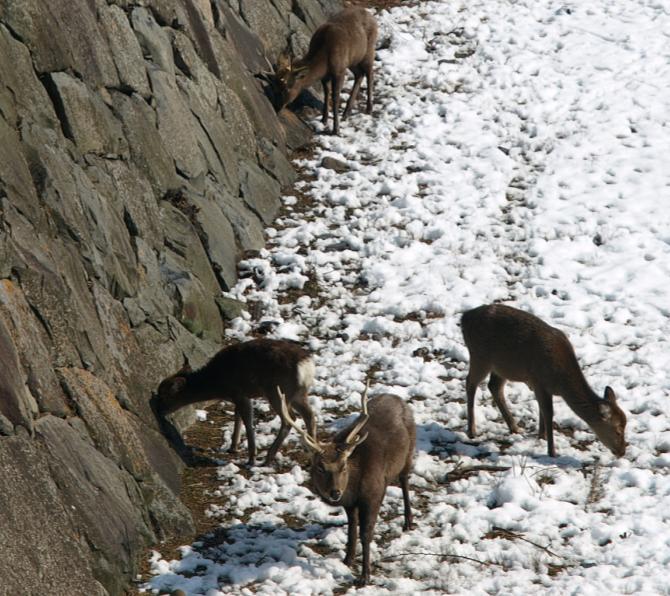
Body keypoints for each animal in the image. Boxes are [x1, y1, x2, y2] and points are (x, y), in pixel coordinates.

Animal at [152, 338, 318, 468]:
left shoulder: (239, 393)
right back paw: (312, 459)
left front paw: (251, 459)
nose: (158, 409)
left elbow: (247, 422)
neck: (219, 385)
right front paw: (233, 447)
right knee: (309, 415)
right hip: (298, 393)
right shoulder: (240, 396)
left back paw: (267, 459)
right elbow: (238, 416)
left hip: (277, 392)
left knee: (290, 419)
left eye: (165, 396)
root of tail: (307, 366)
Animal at [278, 384, 414, 584]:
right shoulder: (350, 503)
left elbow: (366, 534)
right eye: (319, 467)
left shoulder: (373, 494)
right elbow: (351, 530)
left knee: (405, 480)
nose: (335, 492)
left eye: (343, 466)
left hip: (409, 452)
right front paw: (347, 560)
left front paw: (365, 576)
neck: (354, 487)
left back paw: (408, 522)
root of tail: (397, 398)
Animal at [462, 304, 632, 458]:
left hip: (502, 366)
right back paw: (472, 430)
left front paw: (541, 437)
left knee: (494, 386)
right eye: (618, 431)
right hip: (480, 355)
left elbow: (542, 410)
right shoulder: (539, 382)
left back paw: (515, 427)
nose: (622, 452)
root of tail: (464, 318)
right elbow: (548, 412)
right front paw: (552, 452)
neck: (560, 382)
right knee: (470, 382)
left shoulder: (539, 385)